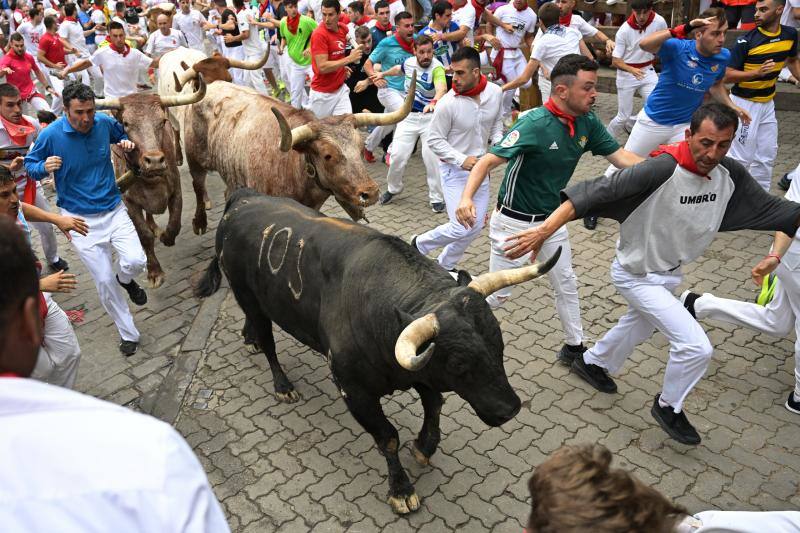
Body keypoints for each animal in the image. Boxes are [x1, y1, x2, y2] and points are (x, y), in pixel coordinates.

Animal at [102, 75, 206, 286]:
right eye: (126, 123)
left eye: (162, 121)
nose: (155, 161)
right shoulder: (129, 202)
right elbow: (144, 235)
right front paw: (154, 272)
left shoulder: (176, 190)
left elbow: (174, 223)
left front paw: (166, 237)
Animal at [180, 76, 416, 233]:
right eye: (327, 155)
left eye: (360, 148)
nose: (370, 193)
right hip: (194, 158)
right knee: (198, 186)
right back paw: (199, 222)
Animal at [195, 189, 560, 512]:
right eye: (459, 363)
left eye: (499, 342)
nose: (510, 409)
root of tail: (244, 197)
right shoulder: (354, 390)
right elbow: (388, 437)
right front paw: (401, 490)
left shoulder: (423, 368)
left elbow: (434, 407)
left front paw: (425, 446)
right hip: (247, 294)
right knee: (269, 342)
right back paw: (282, 384)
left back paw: (250, 339)